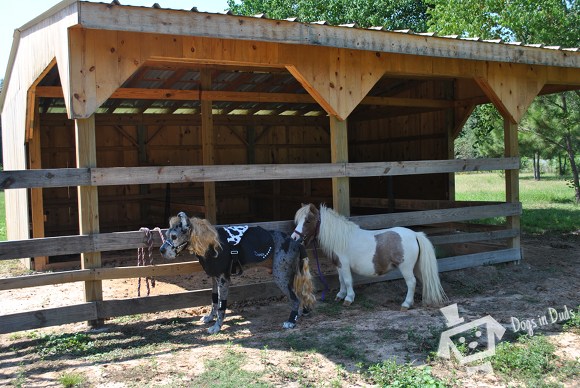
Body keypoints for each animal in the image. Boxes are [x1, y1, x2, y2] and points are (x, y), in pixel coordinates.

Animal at [160, 212, 318, 334]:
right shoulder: (214, 279)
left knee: (295, 299)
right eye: (167, 234)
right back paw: (299, 313)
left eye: (173, 237)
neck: (209, 242)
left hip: (281, 277)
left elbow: (221, 306)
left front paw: (217, 327)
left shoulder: (224, 280)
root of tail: (296, 242)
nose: (161, 250)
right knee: (299, 296)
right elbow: (214, 301)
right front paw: (210, 317)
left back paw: (291, 321)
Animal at [290, 203, 448, 310]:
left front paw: (348, 299)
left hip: (406, 268)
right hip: (416, 267)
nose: (294, 238)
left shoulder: (344, 265)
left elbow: (348, 281)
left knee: (411, 283)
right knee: (422, 280)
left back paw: (406, 304)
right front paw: (340, 295)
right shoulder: (339, 265)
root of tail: (415, 234)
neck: (341, 238)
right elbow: (341, 280)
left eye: (308, 220)